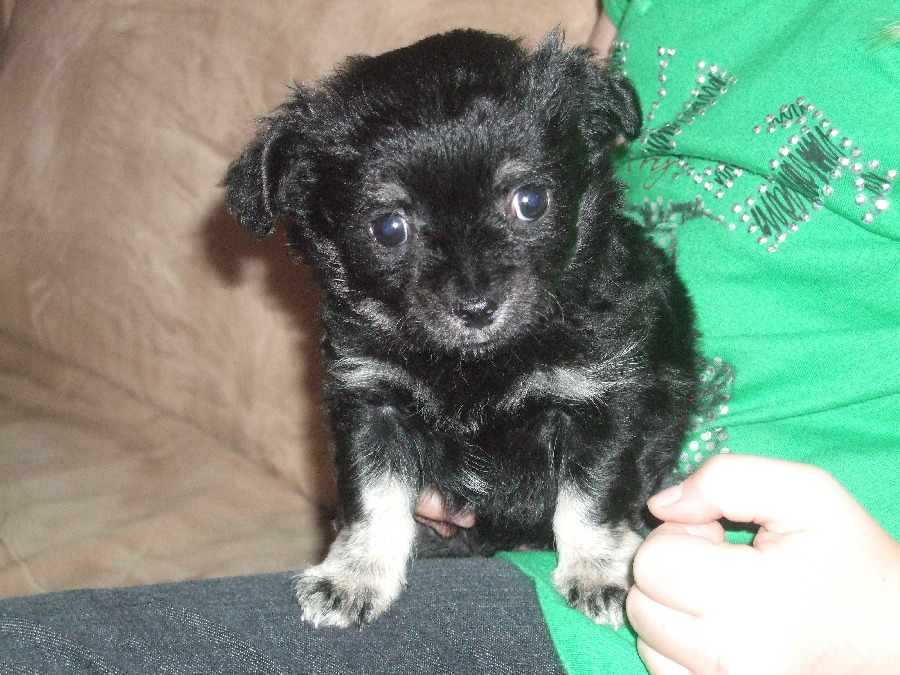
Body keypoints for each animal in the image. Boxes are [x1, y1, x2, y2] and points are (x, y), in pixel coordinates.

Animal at [223, 29, 699, 629]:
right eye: (389, 228)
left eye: (530, 202)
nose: (475, 308)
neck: (477, 361)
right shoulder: (372, 403)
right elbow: (372, 502)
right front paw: (354, 577)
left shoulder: (600, 400)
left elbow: (591, 501)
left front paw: (599, 572)